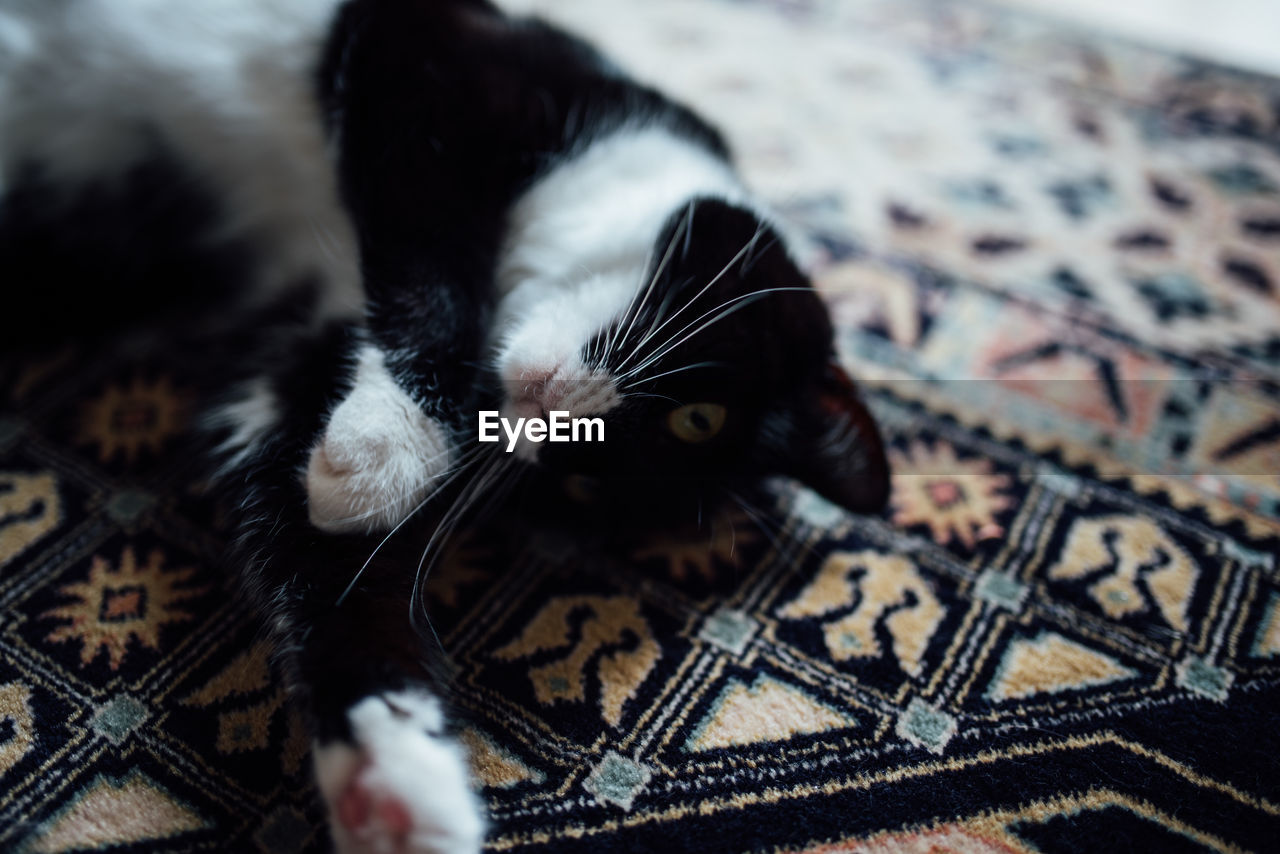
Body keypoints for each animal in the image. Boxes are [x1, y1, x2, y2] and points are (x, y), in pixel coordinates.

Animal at [0, 1, 890, 854]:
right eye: (700, 419)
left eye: (579, 484)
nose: (549, 430)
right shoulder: (431, 60)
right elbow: (434, 259)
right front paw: (392, 443)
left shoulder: (309, 345)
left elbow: (324, 550)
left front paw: (394, 777)